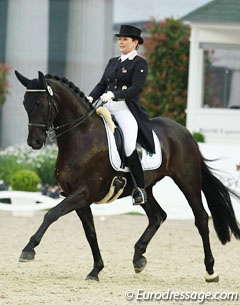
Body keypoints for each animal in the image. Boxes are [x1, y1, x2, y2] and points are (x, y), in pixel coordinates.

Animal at [15, 70, 240, 282]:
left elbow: (51, 214)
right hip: (144, 188)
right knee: (158, 216)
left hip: (188, 180)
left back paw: (210, 271)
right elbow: (90, 232)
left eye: (39, 103)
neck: (82, 136)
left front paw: (28, 249)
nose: (34, 142)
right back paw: (138, 257)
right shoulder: (77, 197)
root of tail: (184, 132)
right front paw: (96, 270)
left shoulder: (83, 193)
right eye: (24, 104)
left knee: (200, 218)